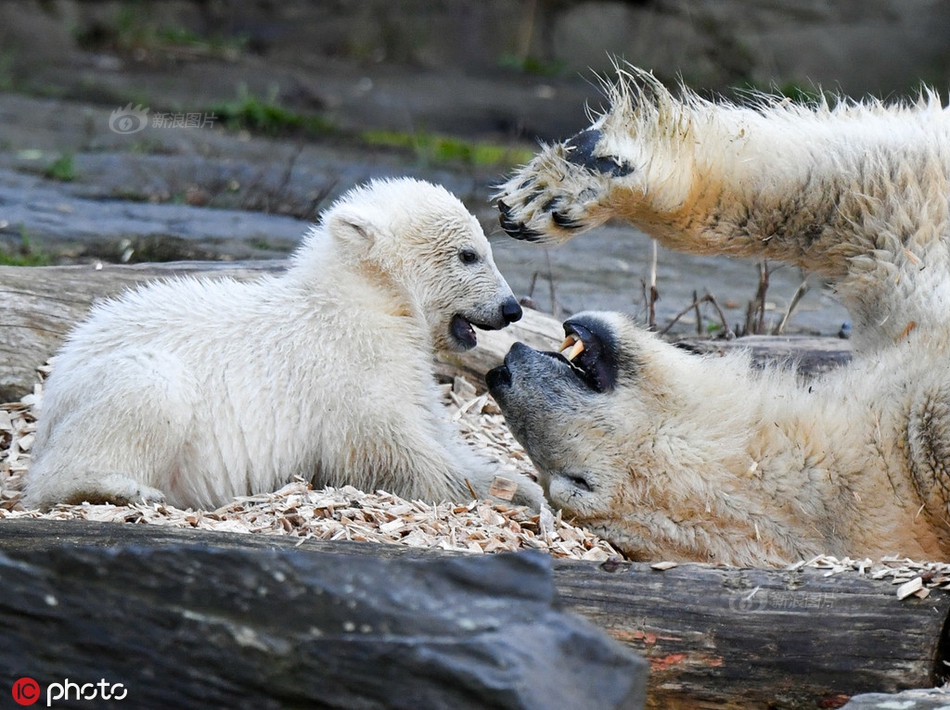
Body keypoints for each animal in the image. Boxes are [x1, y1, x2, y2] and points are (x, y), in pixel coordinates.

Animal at [24, 177, 544, 512]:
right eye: (468, 255)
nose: (511, 309)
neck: (361, 299)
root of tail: (51, 394)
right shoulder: (348, 368)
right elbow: (396, 452)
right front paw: (509, 498)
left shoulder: (405, 369)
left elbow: (435, 430)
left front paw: (521, 485)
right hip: (107, 387)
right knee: (146, 386)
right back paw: (121, 489)